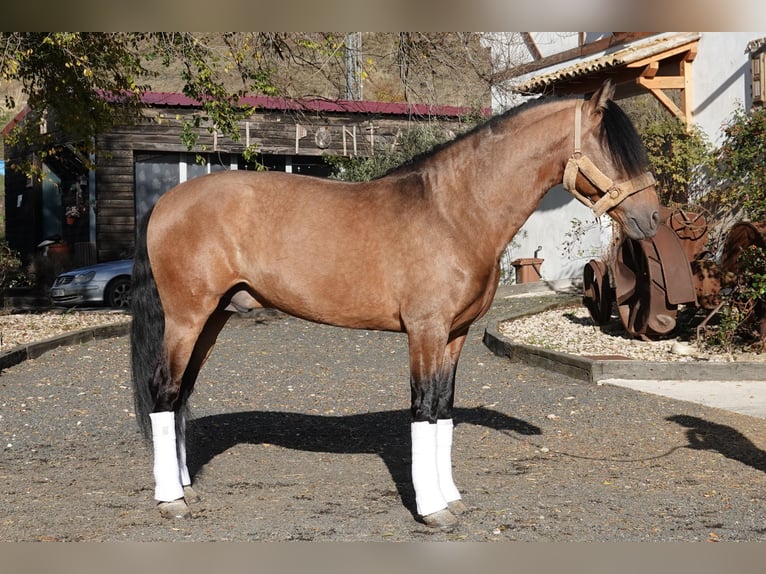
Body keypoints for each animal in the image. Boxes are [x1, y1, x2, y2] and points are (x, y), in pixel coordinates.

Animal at [130, 79, 660, 530]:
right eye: (611, 150)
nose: (651, 218)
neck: (453, 213)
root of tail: (166, 202)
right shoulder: (425, 331)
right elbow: (422, 408)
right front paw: (431, 509)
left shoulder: (455, 334)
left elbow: (443, 408)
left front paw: (451, 498)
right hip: (187, 317)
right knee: (164, 391)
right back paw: (170, 500)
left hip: (213, 318)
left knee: (182, 394)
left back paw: (185, 487)